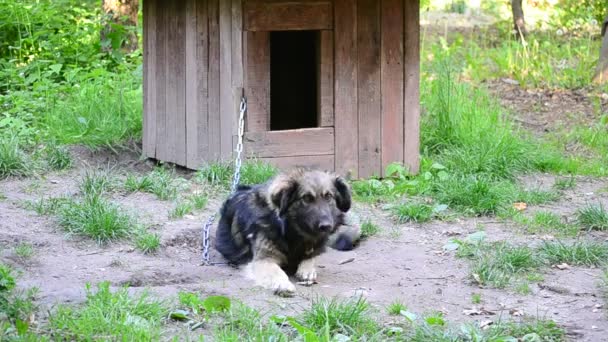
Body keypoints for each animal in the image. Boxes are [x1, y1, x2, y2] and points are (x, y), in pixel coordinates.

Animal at [214, 169, 358, 296]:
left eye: (329, 196)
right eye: (306, 198)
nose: (326, 226)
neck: (290, 231)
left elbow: (310, 258)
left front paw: (307, 269)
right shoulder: (263, 259)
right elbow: (276, 271)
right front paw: (282, 284)